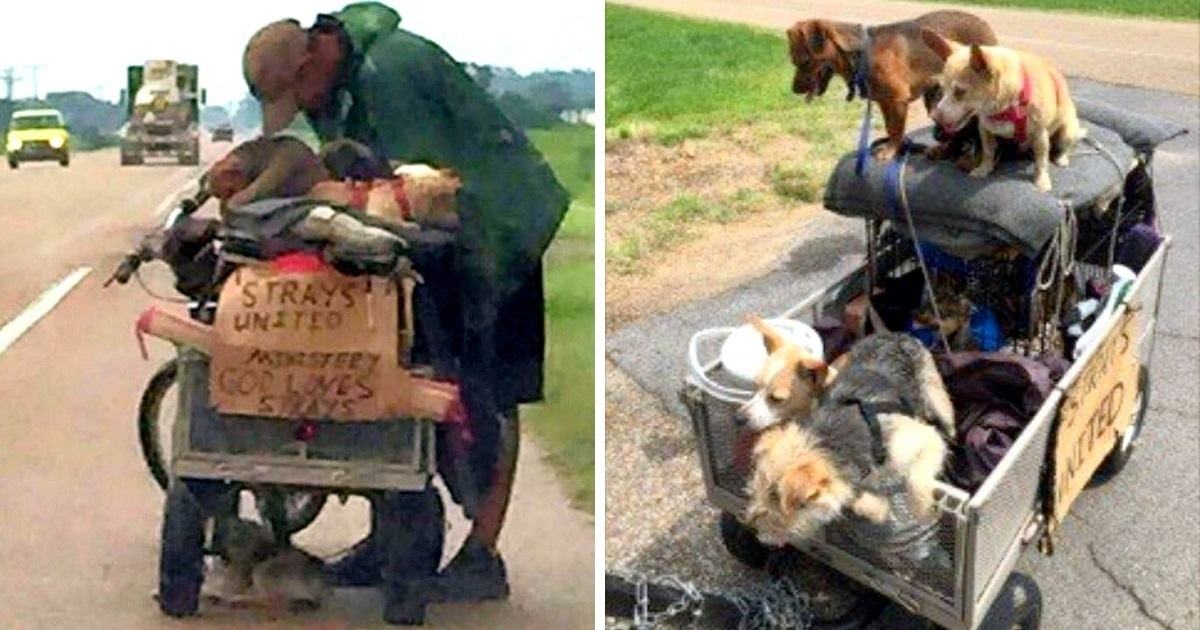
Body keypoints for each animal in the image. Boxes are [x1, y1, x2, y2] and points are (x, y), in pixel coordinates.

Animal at [744, 328, 950, 544]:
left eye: (777, 505)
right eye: (753, 491)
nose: (754, 531)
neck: (832, 441)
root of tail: (893, 334)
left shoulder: (923, 438)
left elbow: (917, 479)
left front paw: (922, 509)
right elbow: (855, 497)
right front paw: (877, 509)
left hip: (937, 395)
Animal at [916, 30, 1089, 192]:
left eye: (959, 92)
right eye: (942, 90)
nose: (935, 116)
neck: (1005, 108)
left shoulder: (1040, 135)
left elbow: (1041, 161)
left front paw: (1041, 181)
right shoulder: (985, 130)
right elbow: (988, 152)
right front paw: (983, 169)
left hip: (1067, 132)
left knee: (1064, 147)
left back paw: (1062, 158)